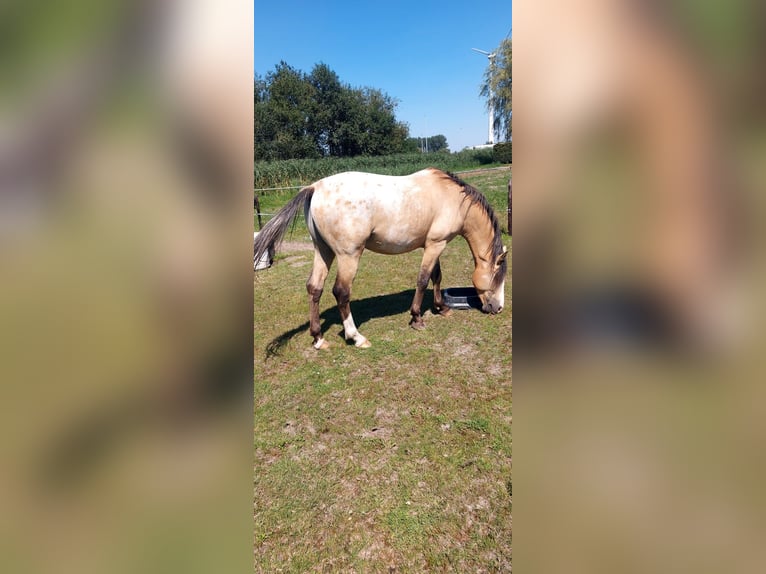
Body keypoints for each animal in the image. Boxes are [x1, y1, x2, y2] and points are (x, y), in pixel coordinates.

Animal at [255, 168, 510, 352]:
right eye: (498, 278)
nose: (498, 308)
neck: (453, 199)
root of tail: (314, 187)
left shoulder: (433, 244)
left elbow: (436, 276)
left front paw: (441, 307)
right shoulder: (436, 244)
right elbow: (423, 279)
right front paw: (417, 318)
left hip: (323, 251)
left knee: (314, 288)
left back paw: (318, 338)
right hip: (349, 256)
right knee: (341, 292)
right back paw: (356, 337)